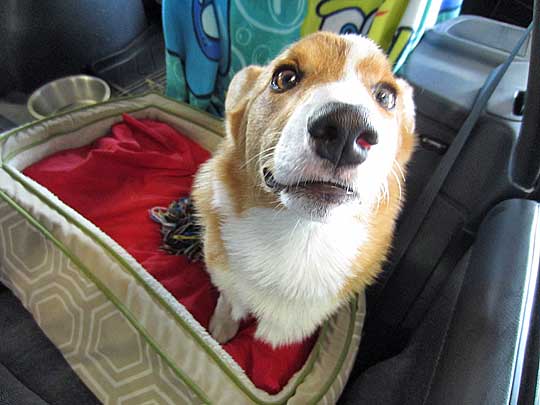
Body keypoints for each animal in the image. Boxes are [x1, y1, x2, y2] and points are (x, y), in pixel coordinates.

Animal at [192, 31, 416, 348]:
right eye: (285, 77)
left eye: (386, 96)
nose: (347, 129)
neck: (301, 236)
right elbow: (230, 298)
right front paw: (220, 329)